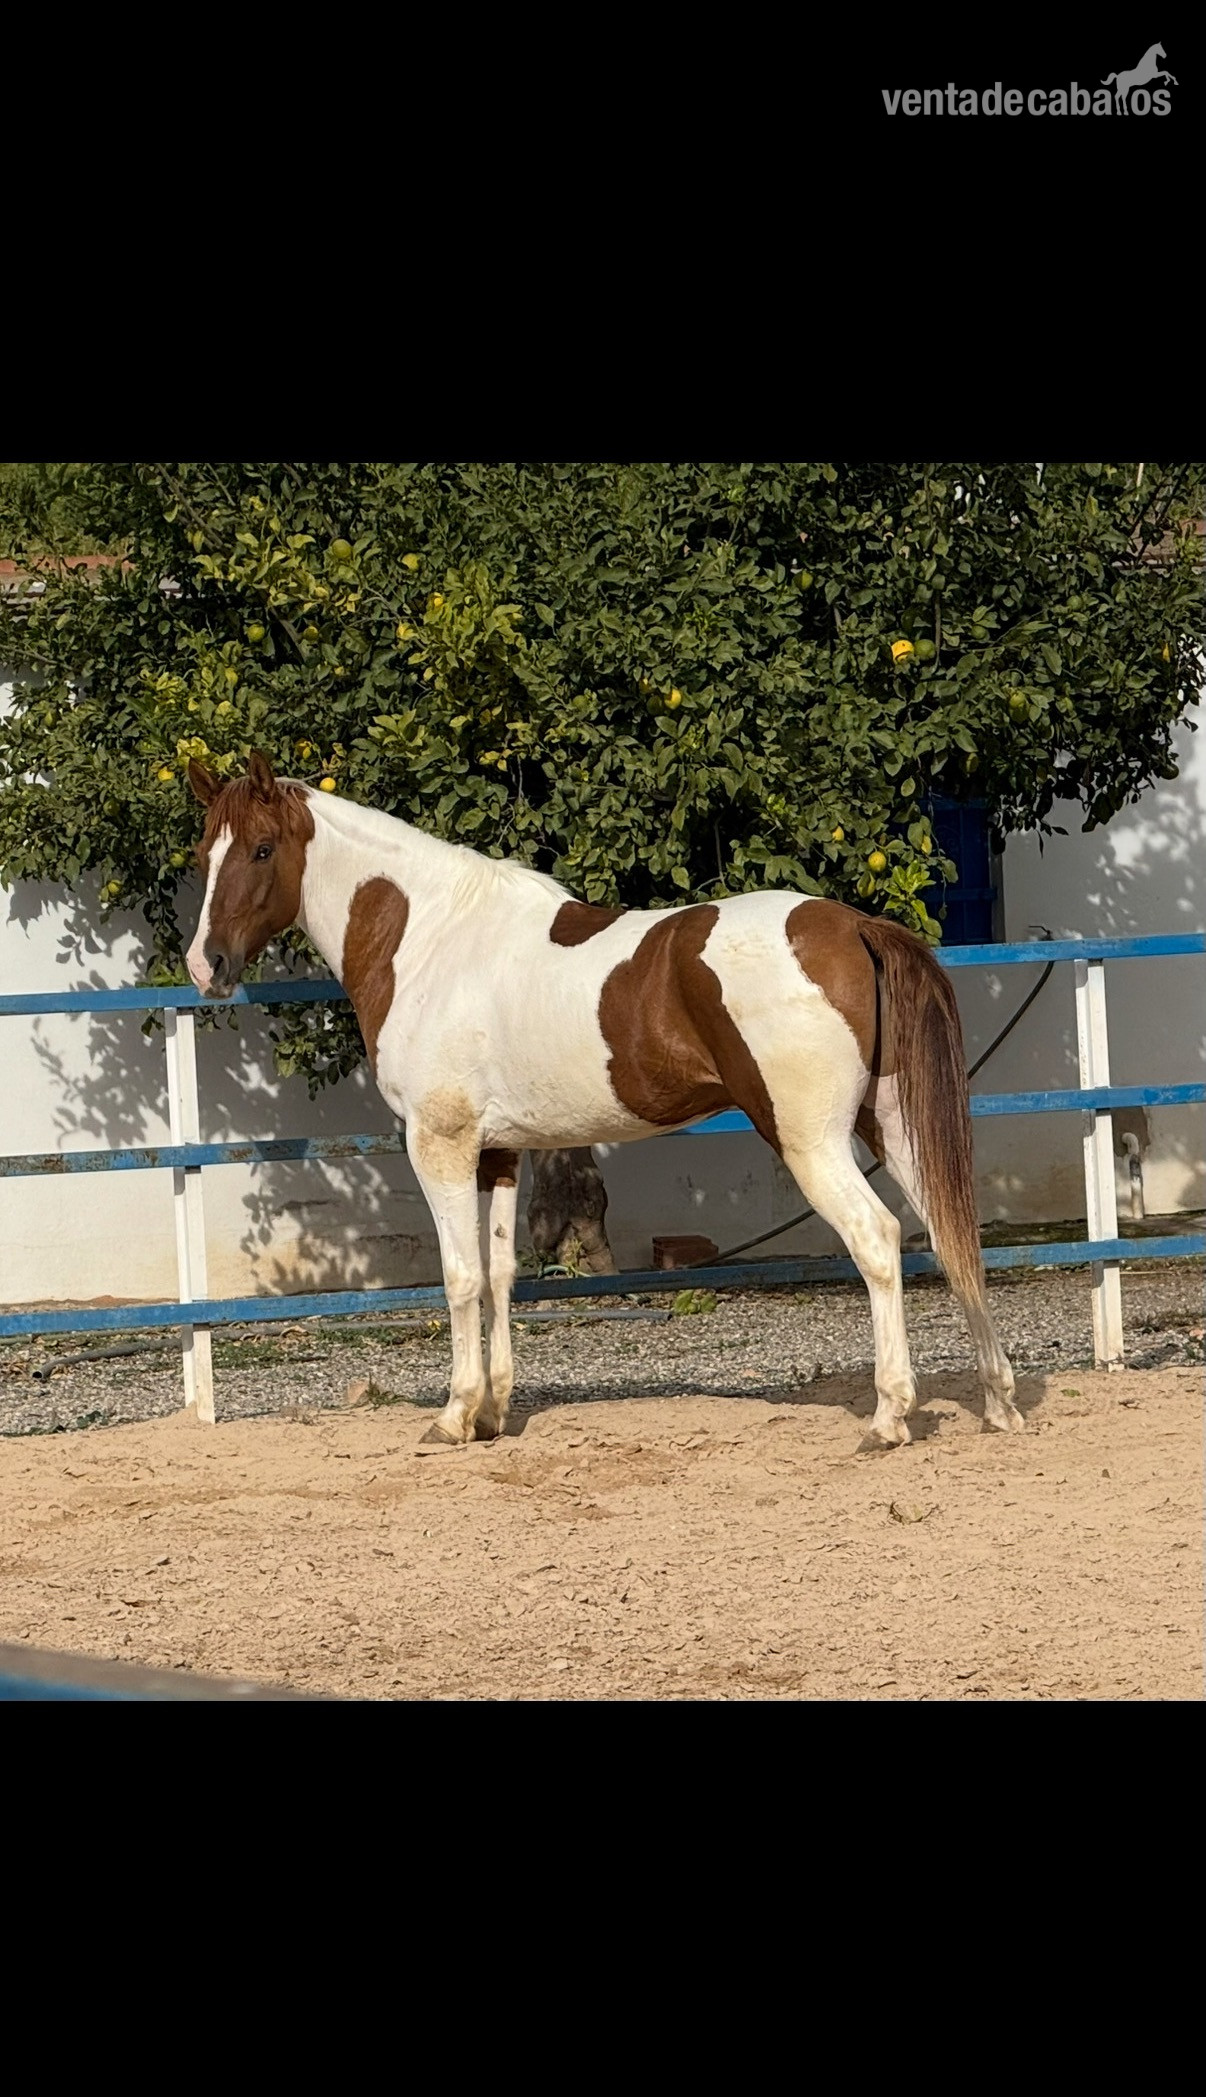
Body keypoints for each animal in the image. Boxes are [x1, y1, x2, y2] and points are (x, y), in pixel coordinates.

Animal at [184, 754, 1022, 1454]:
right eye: (204, 854)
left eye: (262, 849)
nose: (206, 964)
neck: (431, 941)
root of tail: (852, 923)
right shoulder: (497, 1151)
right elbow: (500, 1274)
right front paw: (493, 1412)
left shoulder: (440, 1143)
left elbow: (459, 1276)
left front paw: (454, 1415)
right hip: (890, 1126)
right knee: (950, 1235)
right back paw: (998, 1401)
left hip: (810, 1140)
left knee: (878, 1239)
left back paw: (888, 1417)